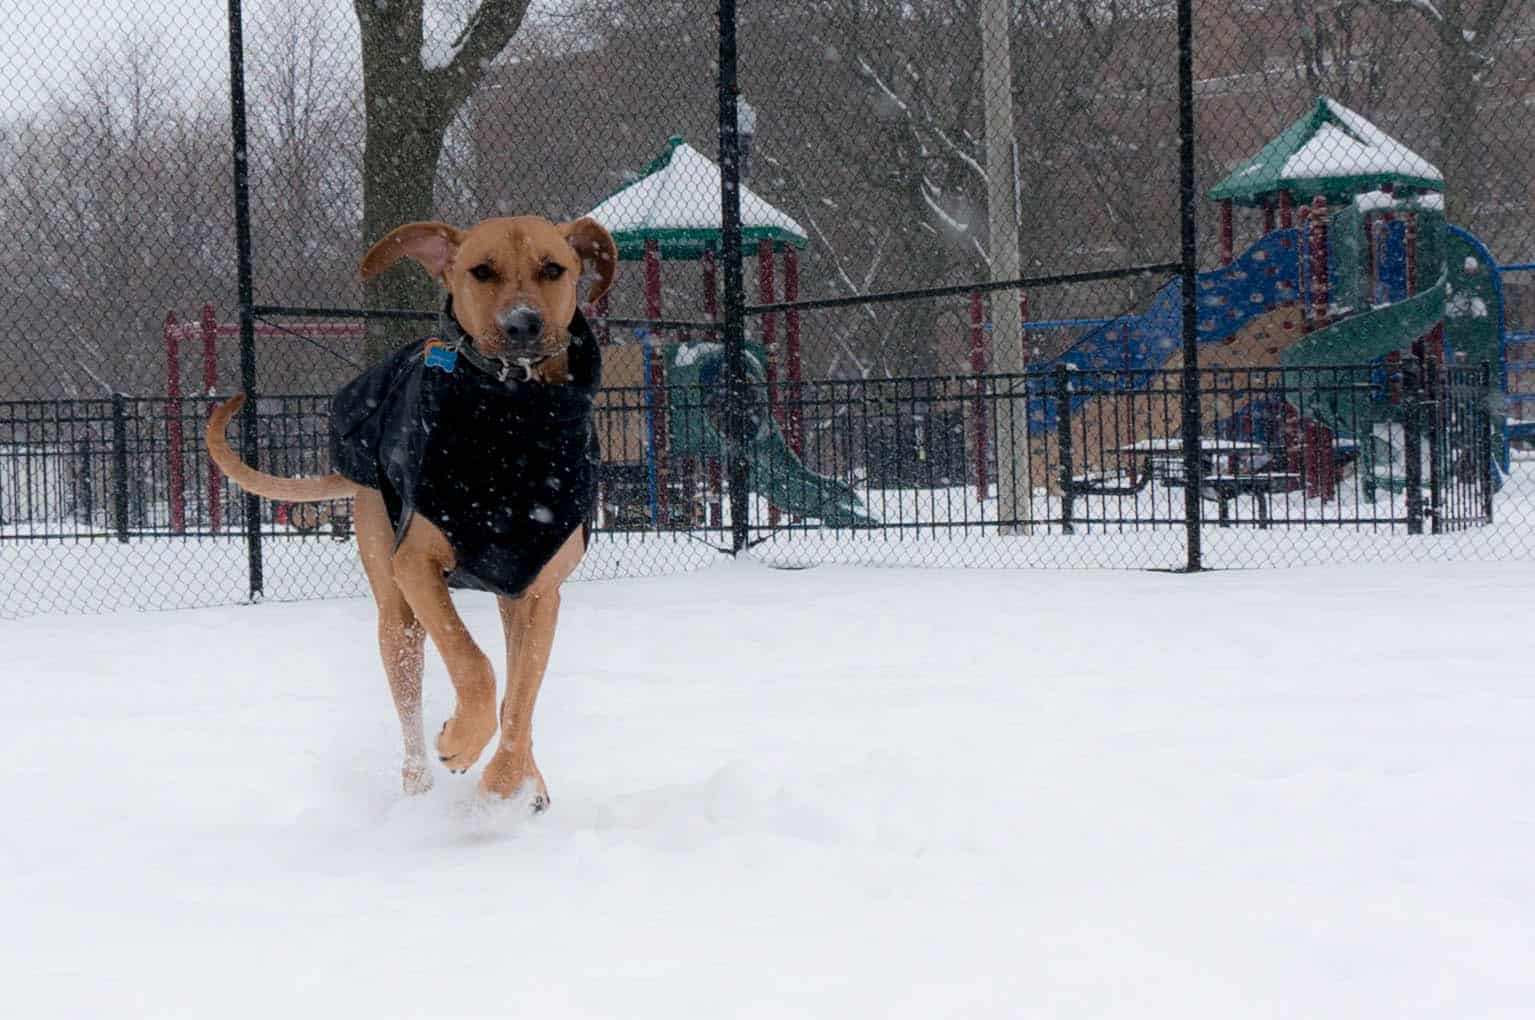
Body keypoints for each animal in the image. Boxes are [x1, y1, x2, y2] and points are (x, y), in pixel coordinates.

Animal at [207, 215, 614, 804]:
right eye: (481, 271)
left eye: (553, 269)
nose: (523, 324)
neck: (515, 420)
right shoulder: (416, 564)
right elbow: (473, 663)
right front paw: (462, 741)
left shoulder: (540, 589)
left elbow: (521, 698)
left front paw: (503, 784)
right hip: (395, 610)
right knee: (410, 697)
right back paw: (420, 782)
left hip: (507, 600)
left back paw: (527, 781)